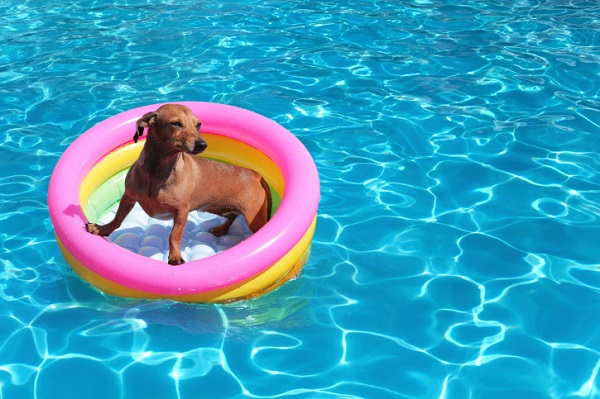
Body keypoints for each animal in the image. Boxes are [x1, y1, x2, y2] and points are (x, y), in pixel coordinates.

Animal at [84, 103, 272, 266]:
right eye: (176, 123)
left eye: (198, 125)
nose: (202, 144)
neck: (157, 172)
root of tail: (255, 174)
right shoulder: (128, 197)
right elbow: (117, 219)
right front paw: (102, 229)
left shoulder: (181, 211)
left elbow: (174, 236)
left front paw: (175, 256)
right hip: (219, 207)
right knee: (232, 215)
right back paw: (221, 229)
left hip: (254, 219)